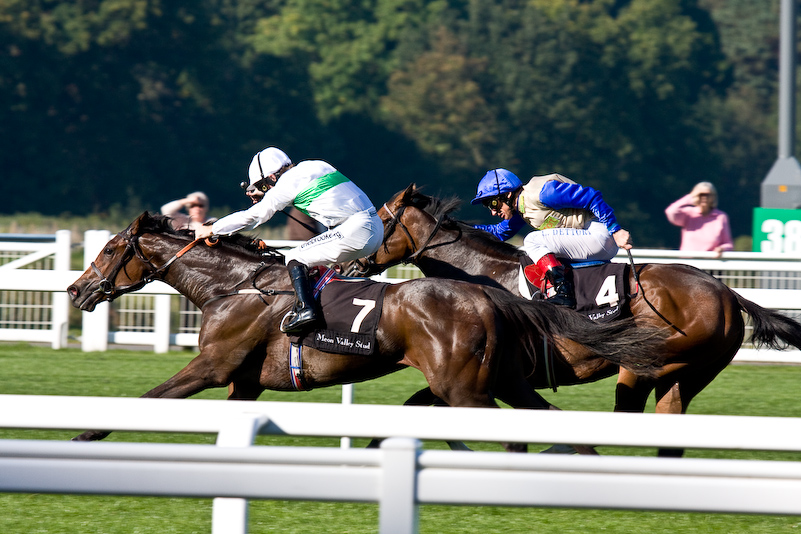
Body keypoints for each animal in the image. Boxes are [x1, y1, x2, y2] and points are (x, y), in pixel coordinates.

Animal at [65, 211, 664, 450]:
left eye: (111, 249)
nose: (75, 290)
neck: (233, 286)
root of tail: (491, 294)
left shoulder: (211, 366)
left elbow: (146, 399)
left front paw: (79, 438)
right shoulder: (245, 382)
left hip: (463, 388)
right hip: (503, 380)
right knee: (548, 423)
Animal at [346, 185, 801, 456]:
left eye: (380, 221)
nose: (350, 263)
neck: (485, 274)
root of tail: (726, 292)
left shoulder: (488, 370)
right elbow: (418, 404)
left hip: (650, 361)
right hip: (688, 377)